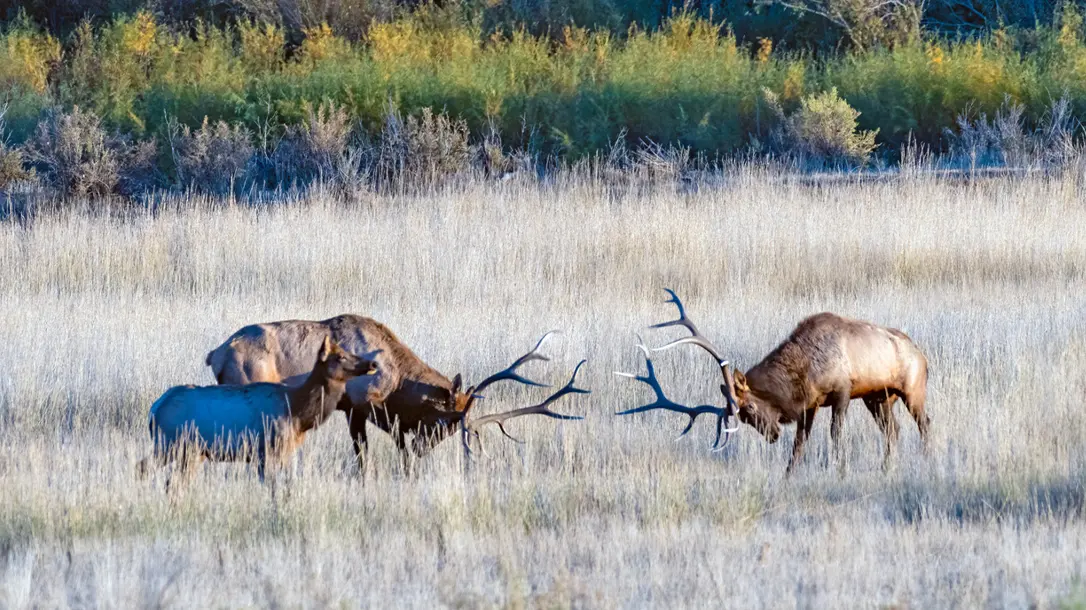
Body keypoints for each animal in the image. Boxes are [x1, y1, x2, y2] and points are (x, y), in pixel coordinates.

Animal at [139, 337, 379, 488]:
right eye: (340, 357)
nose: (372, 363)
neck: (297, 412)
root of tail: (154, 410)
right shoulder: (266, 450)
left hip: (191, 452)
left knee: (173, 482)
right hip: (169, 444)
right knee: (143, 469)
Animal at [204, 315, 588, 473]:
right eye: (446, 421)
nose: (423, 451)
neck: (397, 377)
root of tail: (216, 353)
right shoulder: (360, 405)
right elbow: (369, 451)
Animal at [616, 289, 930, 474]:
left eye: (749, 409)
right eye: (743, 418)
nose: (771, 435)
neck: (805, 370)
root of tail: (922, 354)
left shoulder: (842, 390)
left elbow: (835, 434)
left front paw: (839, 469)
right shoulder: (811, 404)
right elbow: (800, 441)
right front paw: (789, 473)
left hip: (912, 390)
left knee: (924, 423)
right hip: (878, 398)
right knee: (893, 430)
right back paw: (887, 468)